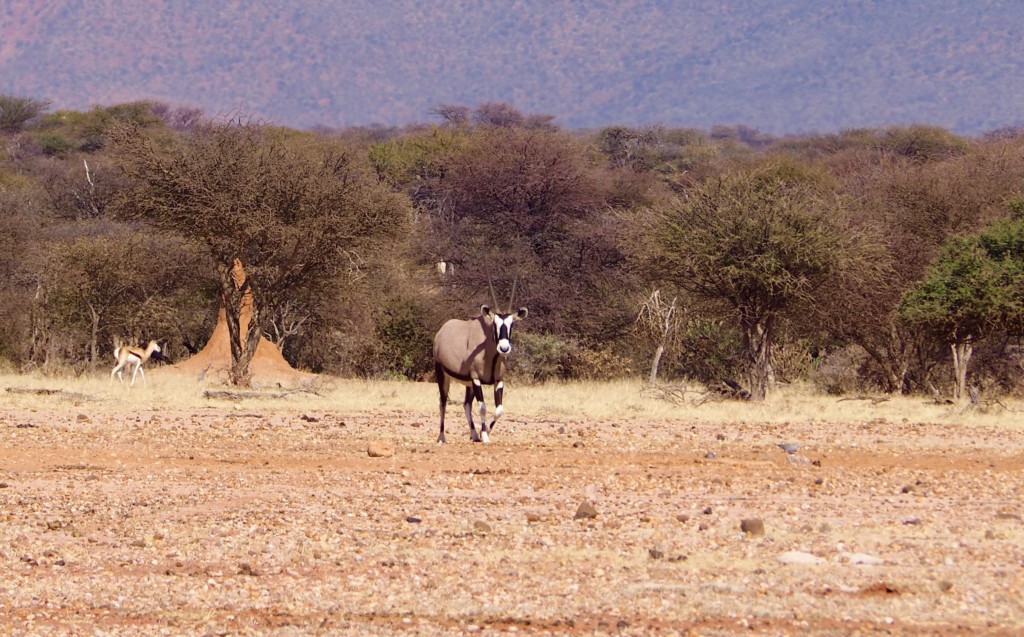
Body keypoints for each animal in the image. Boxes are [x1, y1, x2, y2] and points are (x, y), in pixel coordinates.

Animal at [432, 307, 528, 442]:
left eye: (512, 324)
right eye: (494, 324)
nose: (504, 348)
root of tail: (441, 332)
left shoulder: (498, 381)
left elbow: (499, 409)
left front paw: (486, 431)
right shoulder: (476, 380)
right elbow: (482, 408)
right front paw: (485, 436)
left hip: (469, 384)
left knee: (466, 404)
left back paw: (474, 435)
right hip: (442, 375)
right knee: (443, 403)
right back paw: (441, 437)